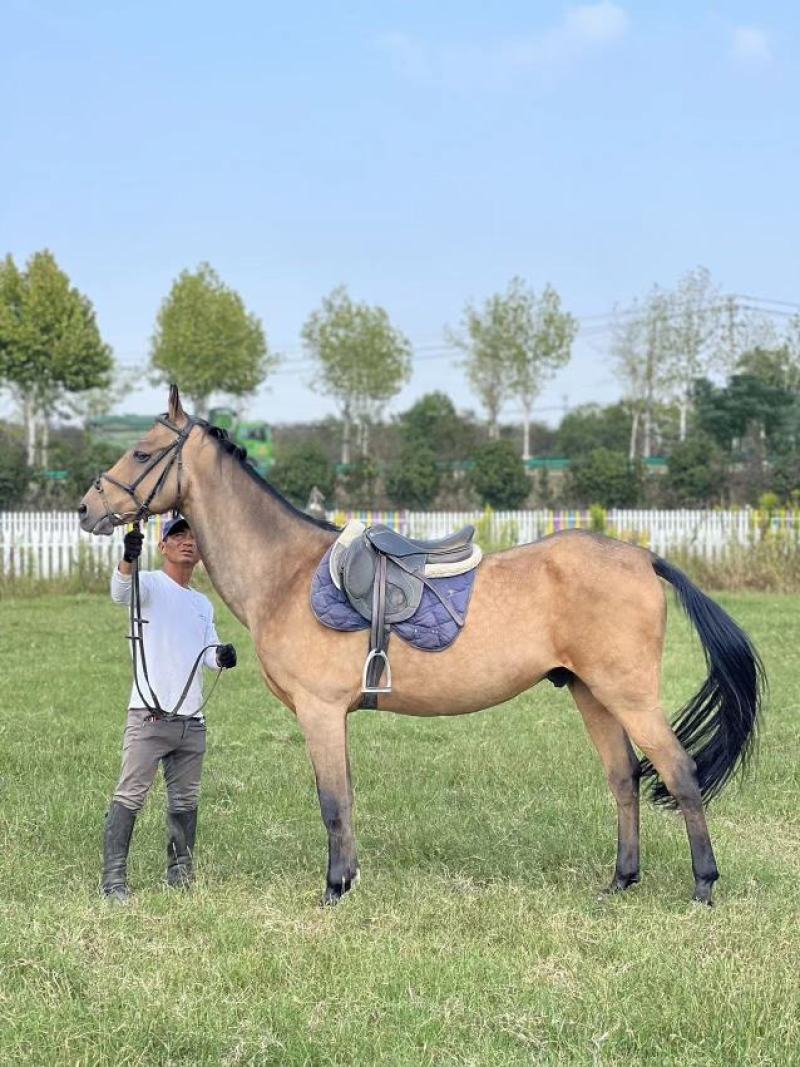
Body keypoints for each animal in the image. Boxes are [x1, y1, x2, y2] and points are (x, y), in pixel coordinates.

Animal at [78, 386, 764, 905]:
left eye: (141, 451)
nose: (87, 508)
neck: (287, 573)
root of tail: (644, 558)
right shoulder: (334, 717)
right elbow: (347, 799)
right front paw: (349, 879)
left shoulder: (319, 712)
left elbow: (332, 802)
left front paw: (334, 890)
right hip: (592, 694)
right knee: (623, 779)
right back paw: (620, 881)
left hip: (630, 695)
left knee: (678, 773)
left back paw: (703, 885)